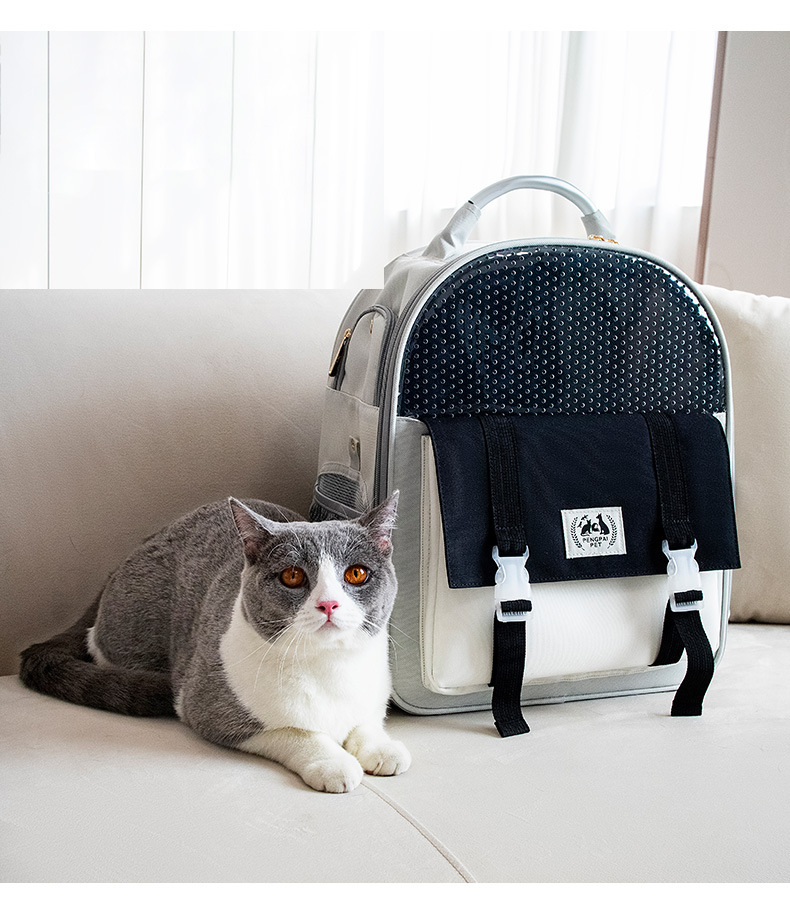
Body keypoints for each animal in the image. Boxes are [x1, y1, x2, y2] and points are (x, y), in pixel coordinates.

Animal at [19, 493, 410, 793]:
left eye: (356, 574)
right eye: (292, 576)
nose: (328, 604)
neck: (328, 667)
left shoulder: (373, 693)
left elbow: (367, 720)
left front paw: (382, 748)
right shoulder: (210, 708)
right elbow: (294, 731)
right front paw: (334, 763)